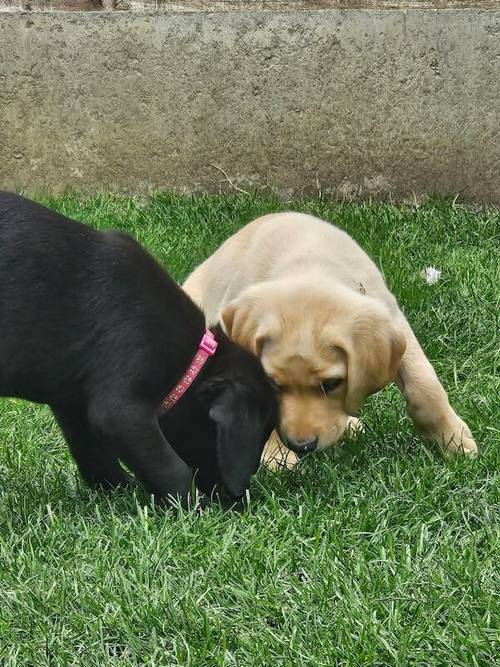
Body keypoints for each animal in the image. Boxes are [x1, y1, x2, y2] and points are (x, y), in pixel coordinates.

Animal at [0, 196, 276, 508]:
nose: (238, 499)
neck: (188, 362)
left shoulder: (72, 405)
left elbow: (94, 454)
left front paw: (120, 489)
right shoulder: (121, 410)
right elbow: (171, 468)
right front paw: (196, 507)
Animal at [184, 214, 476, 464]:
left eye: (332, 384)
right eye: (274, 383)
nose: (301, 446)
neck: (310, 261)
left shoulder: (393, 318)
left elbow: (424, 386)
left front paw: (453, 440)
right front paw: (278, 456)